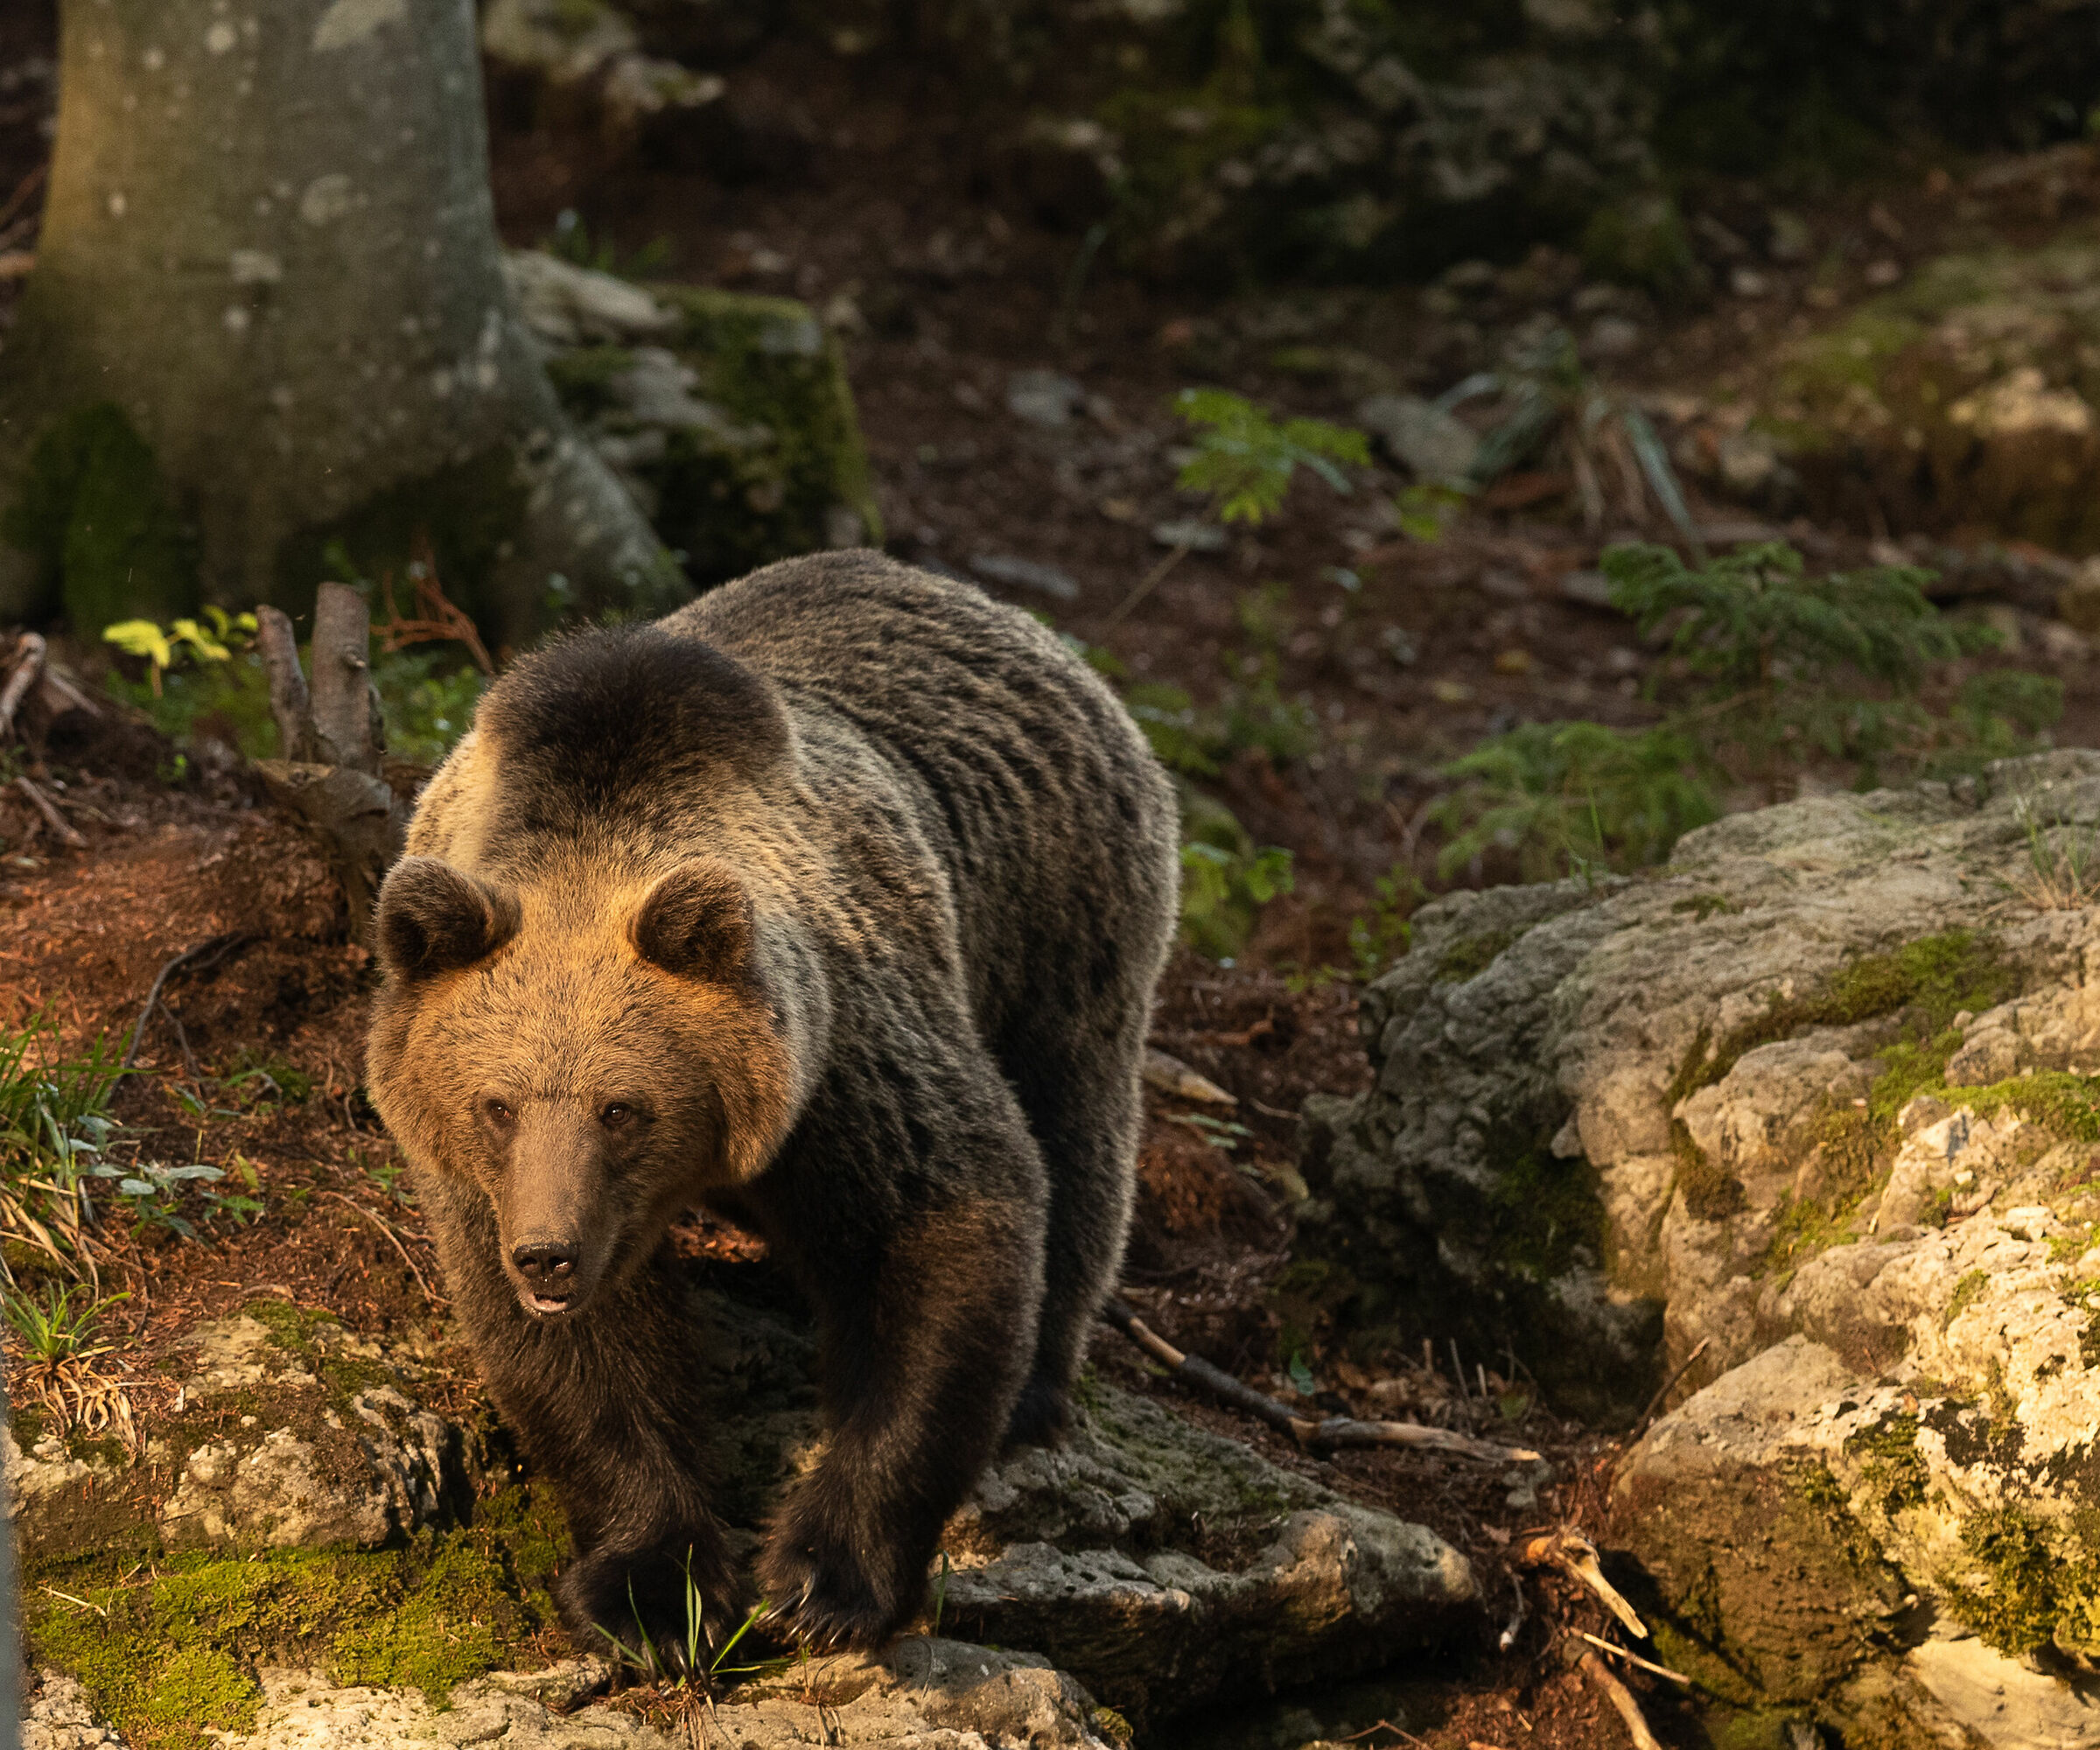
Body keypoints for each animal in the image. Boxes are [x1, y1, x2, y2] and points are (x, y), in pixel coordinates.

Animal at [365, 550, 1179, 1665]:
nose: (547, 1255)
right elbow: (581, 1364)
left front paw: (821, 1578)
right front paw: (653, 1589)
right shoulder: (488, 1186)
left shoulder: (841, 1053)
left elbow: (948, 1219)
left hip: (1058, 918)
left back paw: (1036, 1388)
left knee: (1075, 1131)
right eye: (495, 1102)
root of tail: (996, 610)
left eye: (623, 1106)